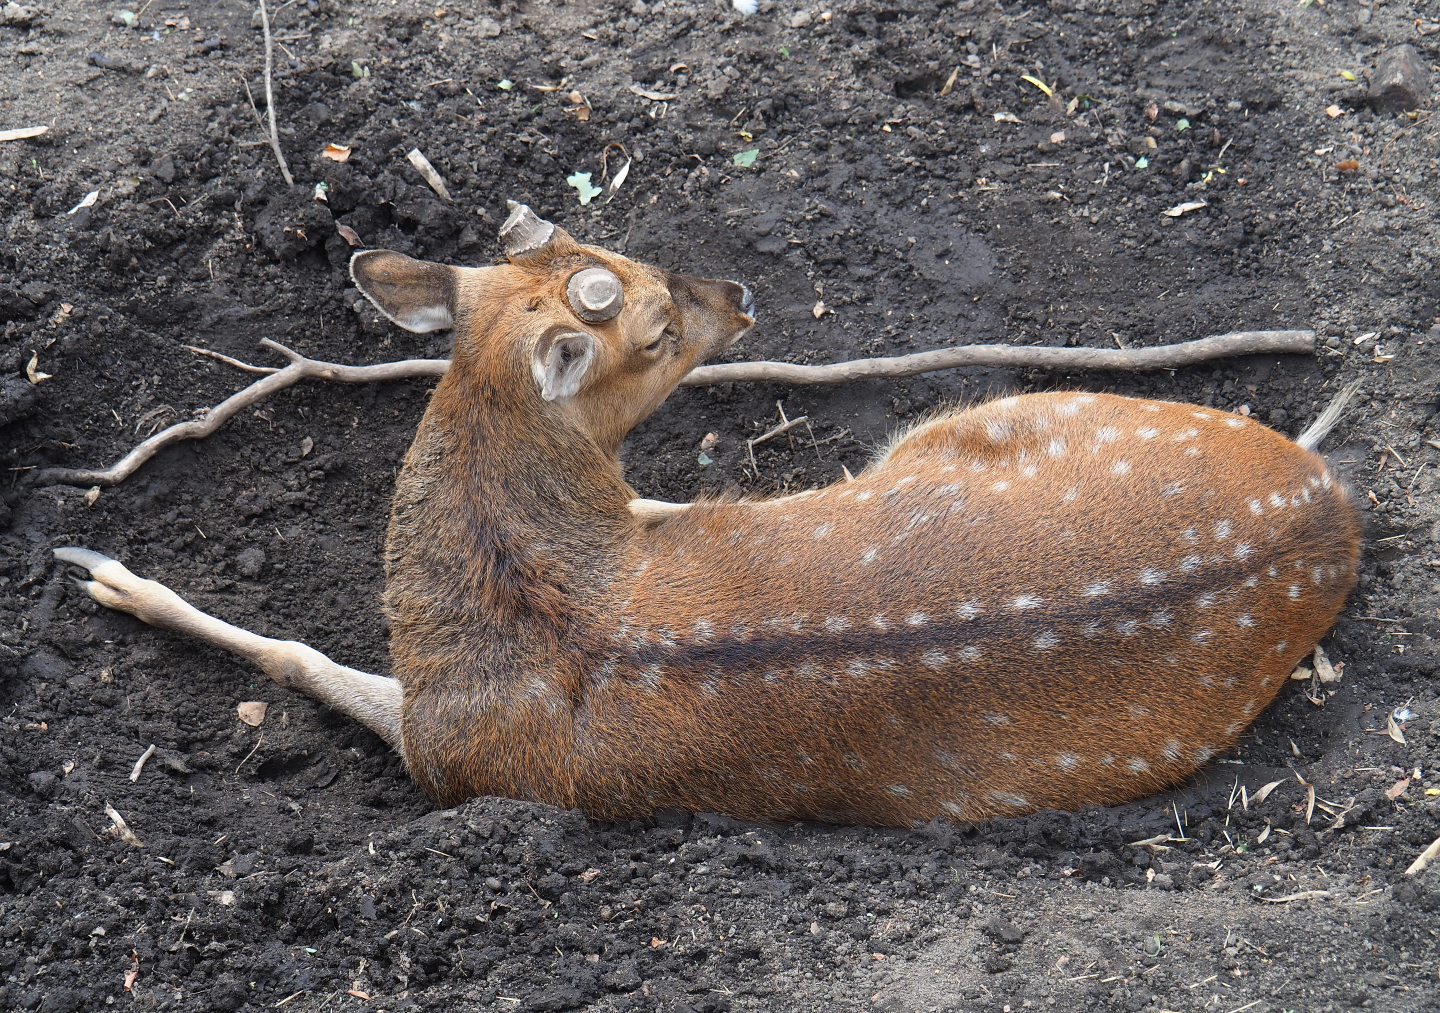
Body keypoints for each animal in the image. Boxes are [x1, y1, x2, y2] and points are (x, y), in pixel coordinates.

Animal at [54, 203, 1361, 828]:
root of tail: (1332, 510)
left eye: (638, 275)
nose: (738, 290)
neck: (526, 599)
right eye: (653, 322)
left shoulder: (453, 759)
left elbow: (297, 650)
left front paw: (104, 569)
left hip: (986, 410)